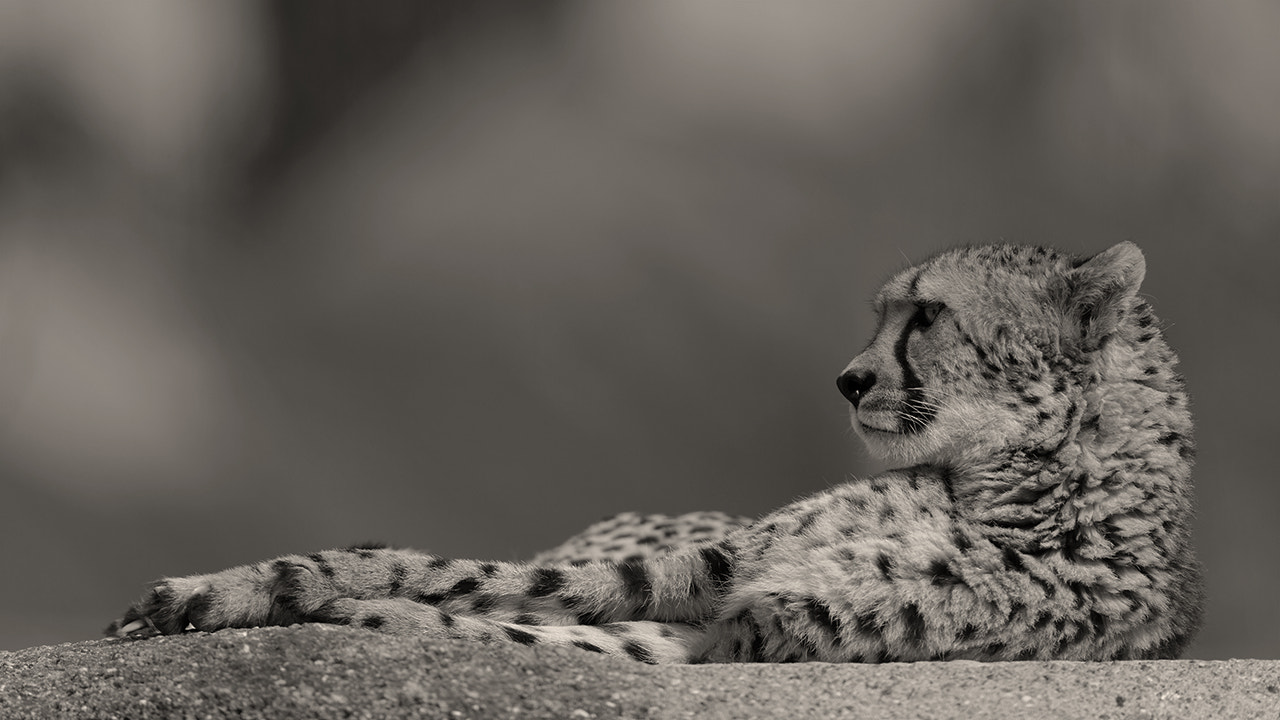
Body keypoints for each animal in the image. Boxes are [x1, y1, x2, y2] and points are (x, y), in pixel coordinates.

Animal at [108, 241, 1203, 663]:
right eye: (884, 313)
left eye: (925, 316)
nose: (848, 379)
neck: (1006, 481)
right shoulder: (717, 568)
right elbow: (470, 577)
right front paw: (255, 591)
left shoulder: (743, 636)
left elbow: (528, 629)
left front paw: (367, 618)